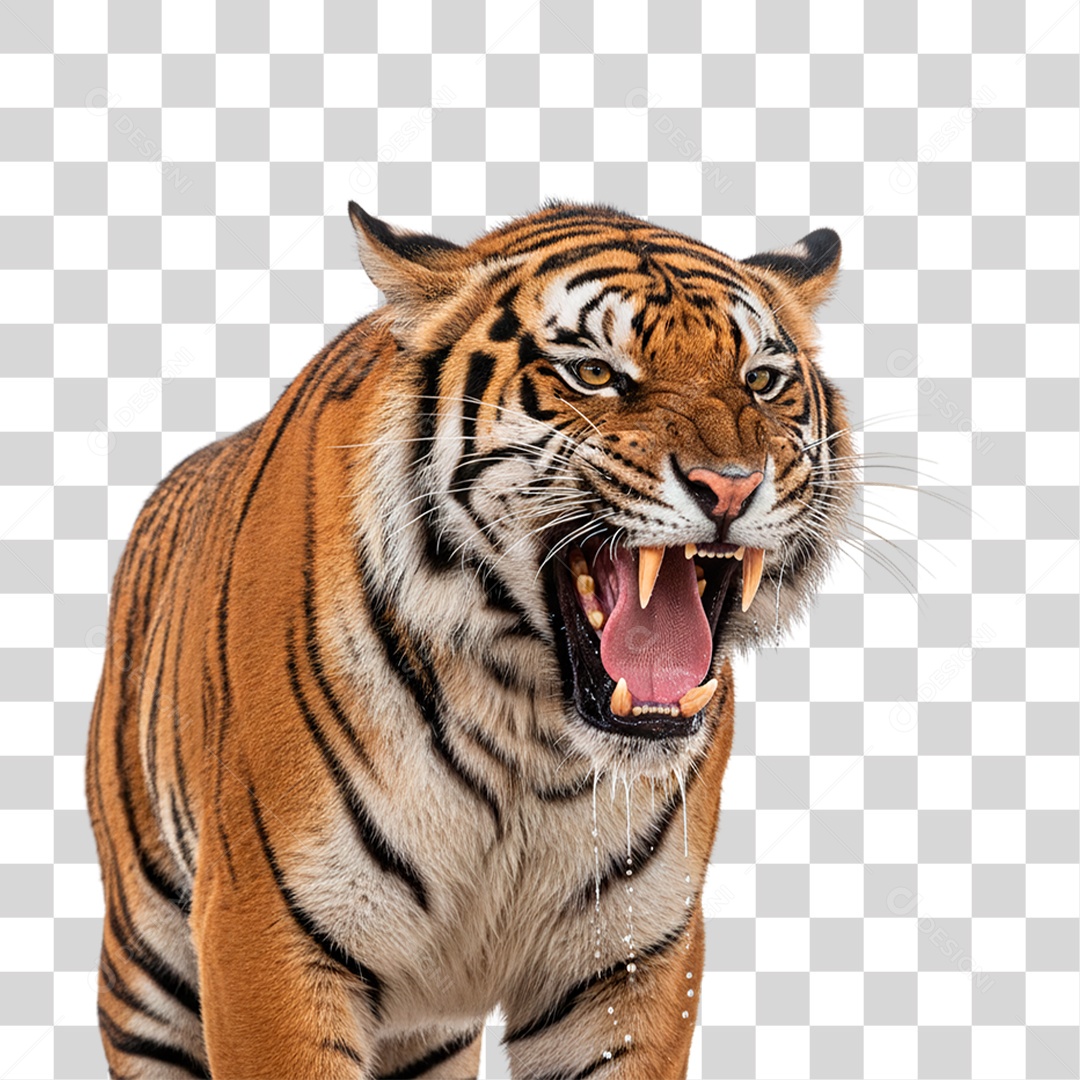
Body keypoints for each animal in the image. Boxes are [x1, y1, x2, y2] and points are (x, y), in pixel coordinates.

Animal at [86, 199, 854, 1079]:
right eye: (594, 373)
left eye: (762, 381)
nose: (730, 486)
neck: (533, 733)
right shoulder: (267, 934)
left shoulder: (630, 960)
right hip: (147, 968)